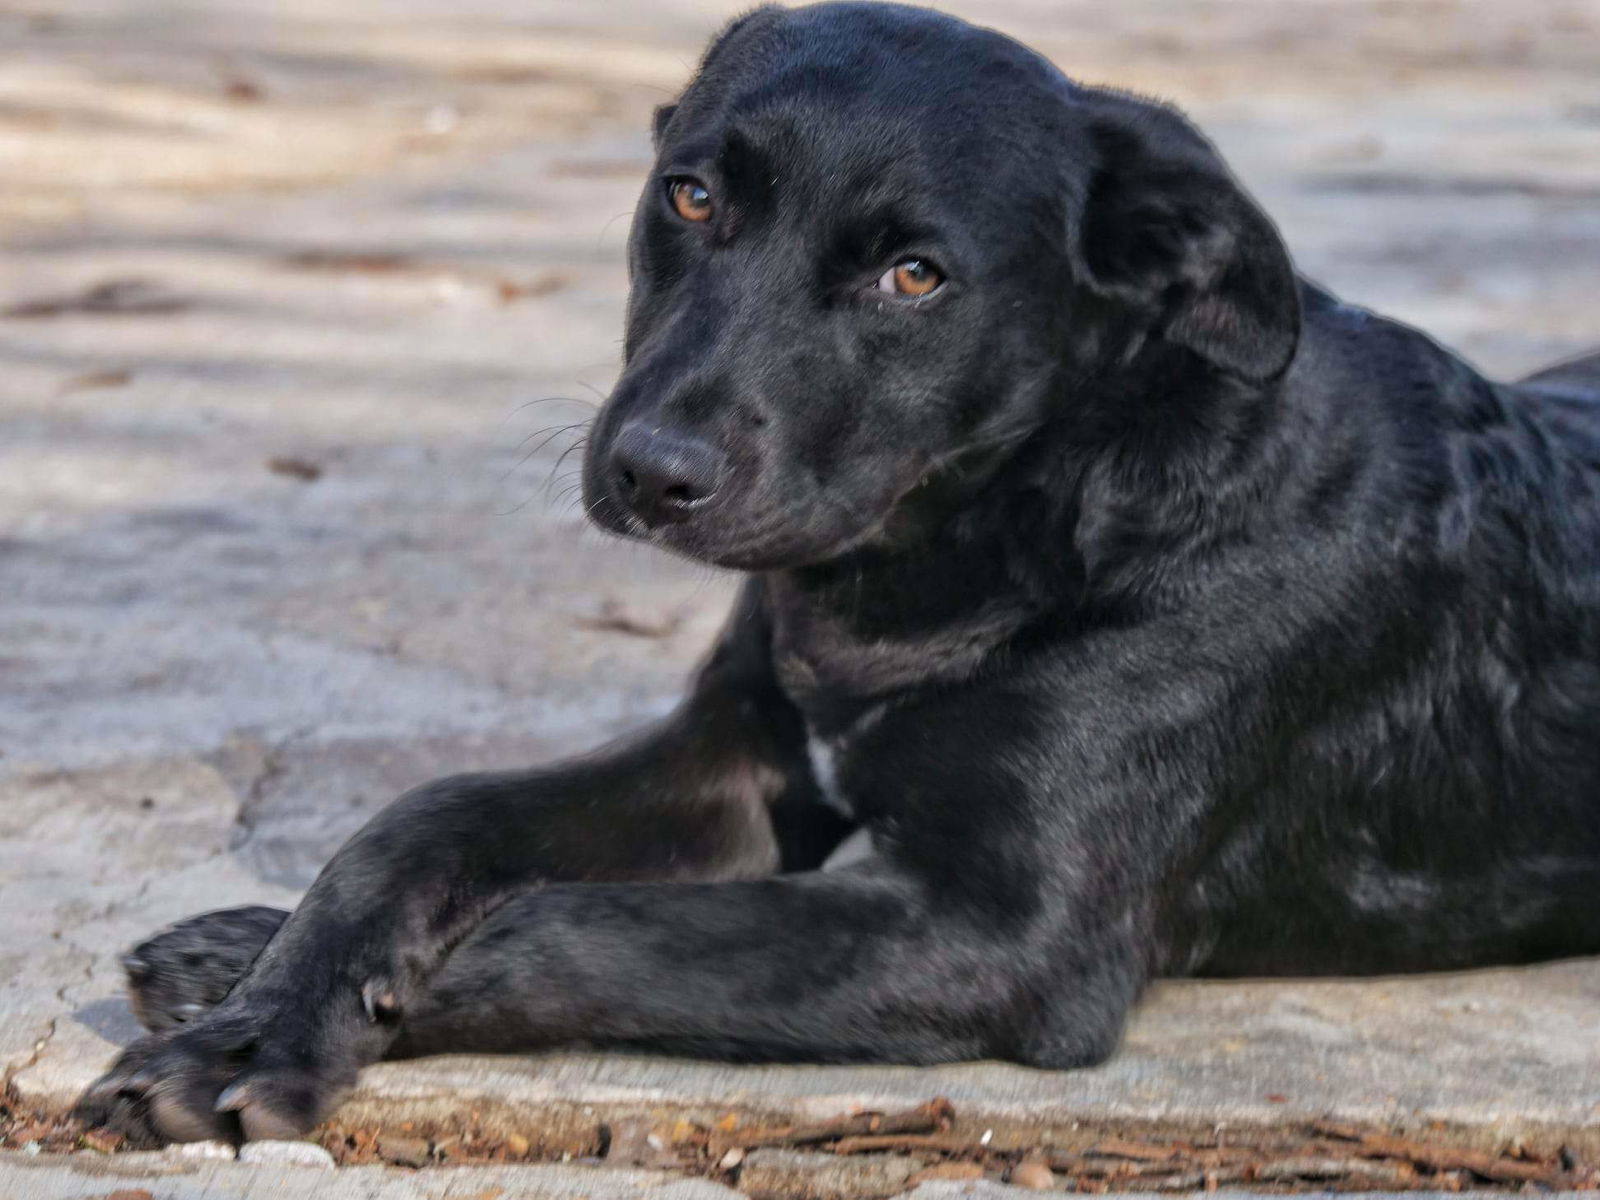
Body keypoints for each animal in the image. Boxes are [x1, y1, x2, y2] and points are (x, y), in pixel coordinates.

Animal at [78, 0, 1600, 1145]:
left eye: (913, 276)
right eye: (692, 195)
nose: (651, 471)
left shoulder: (1000, 936)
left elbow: (577, 930)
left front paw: (284, 1014)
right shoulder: (728, 769)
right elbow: (424, 819)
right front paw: (259, 991)